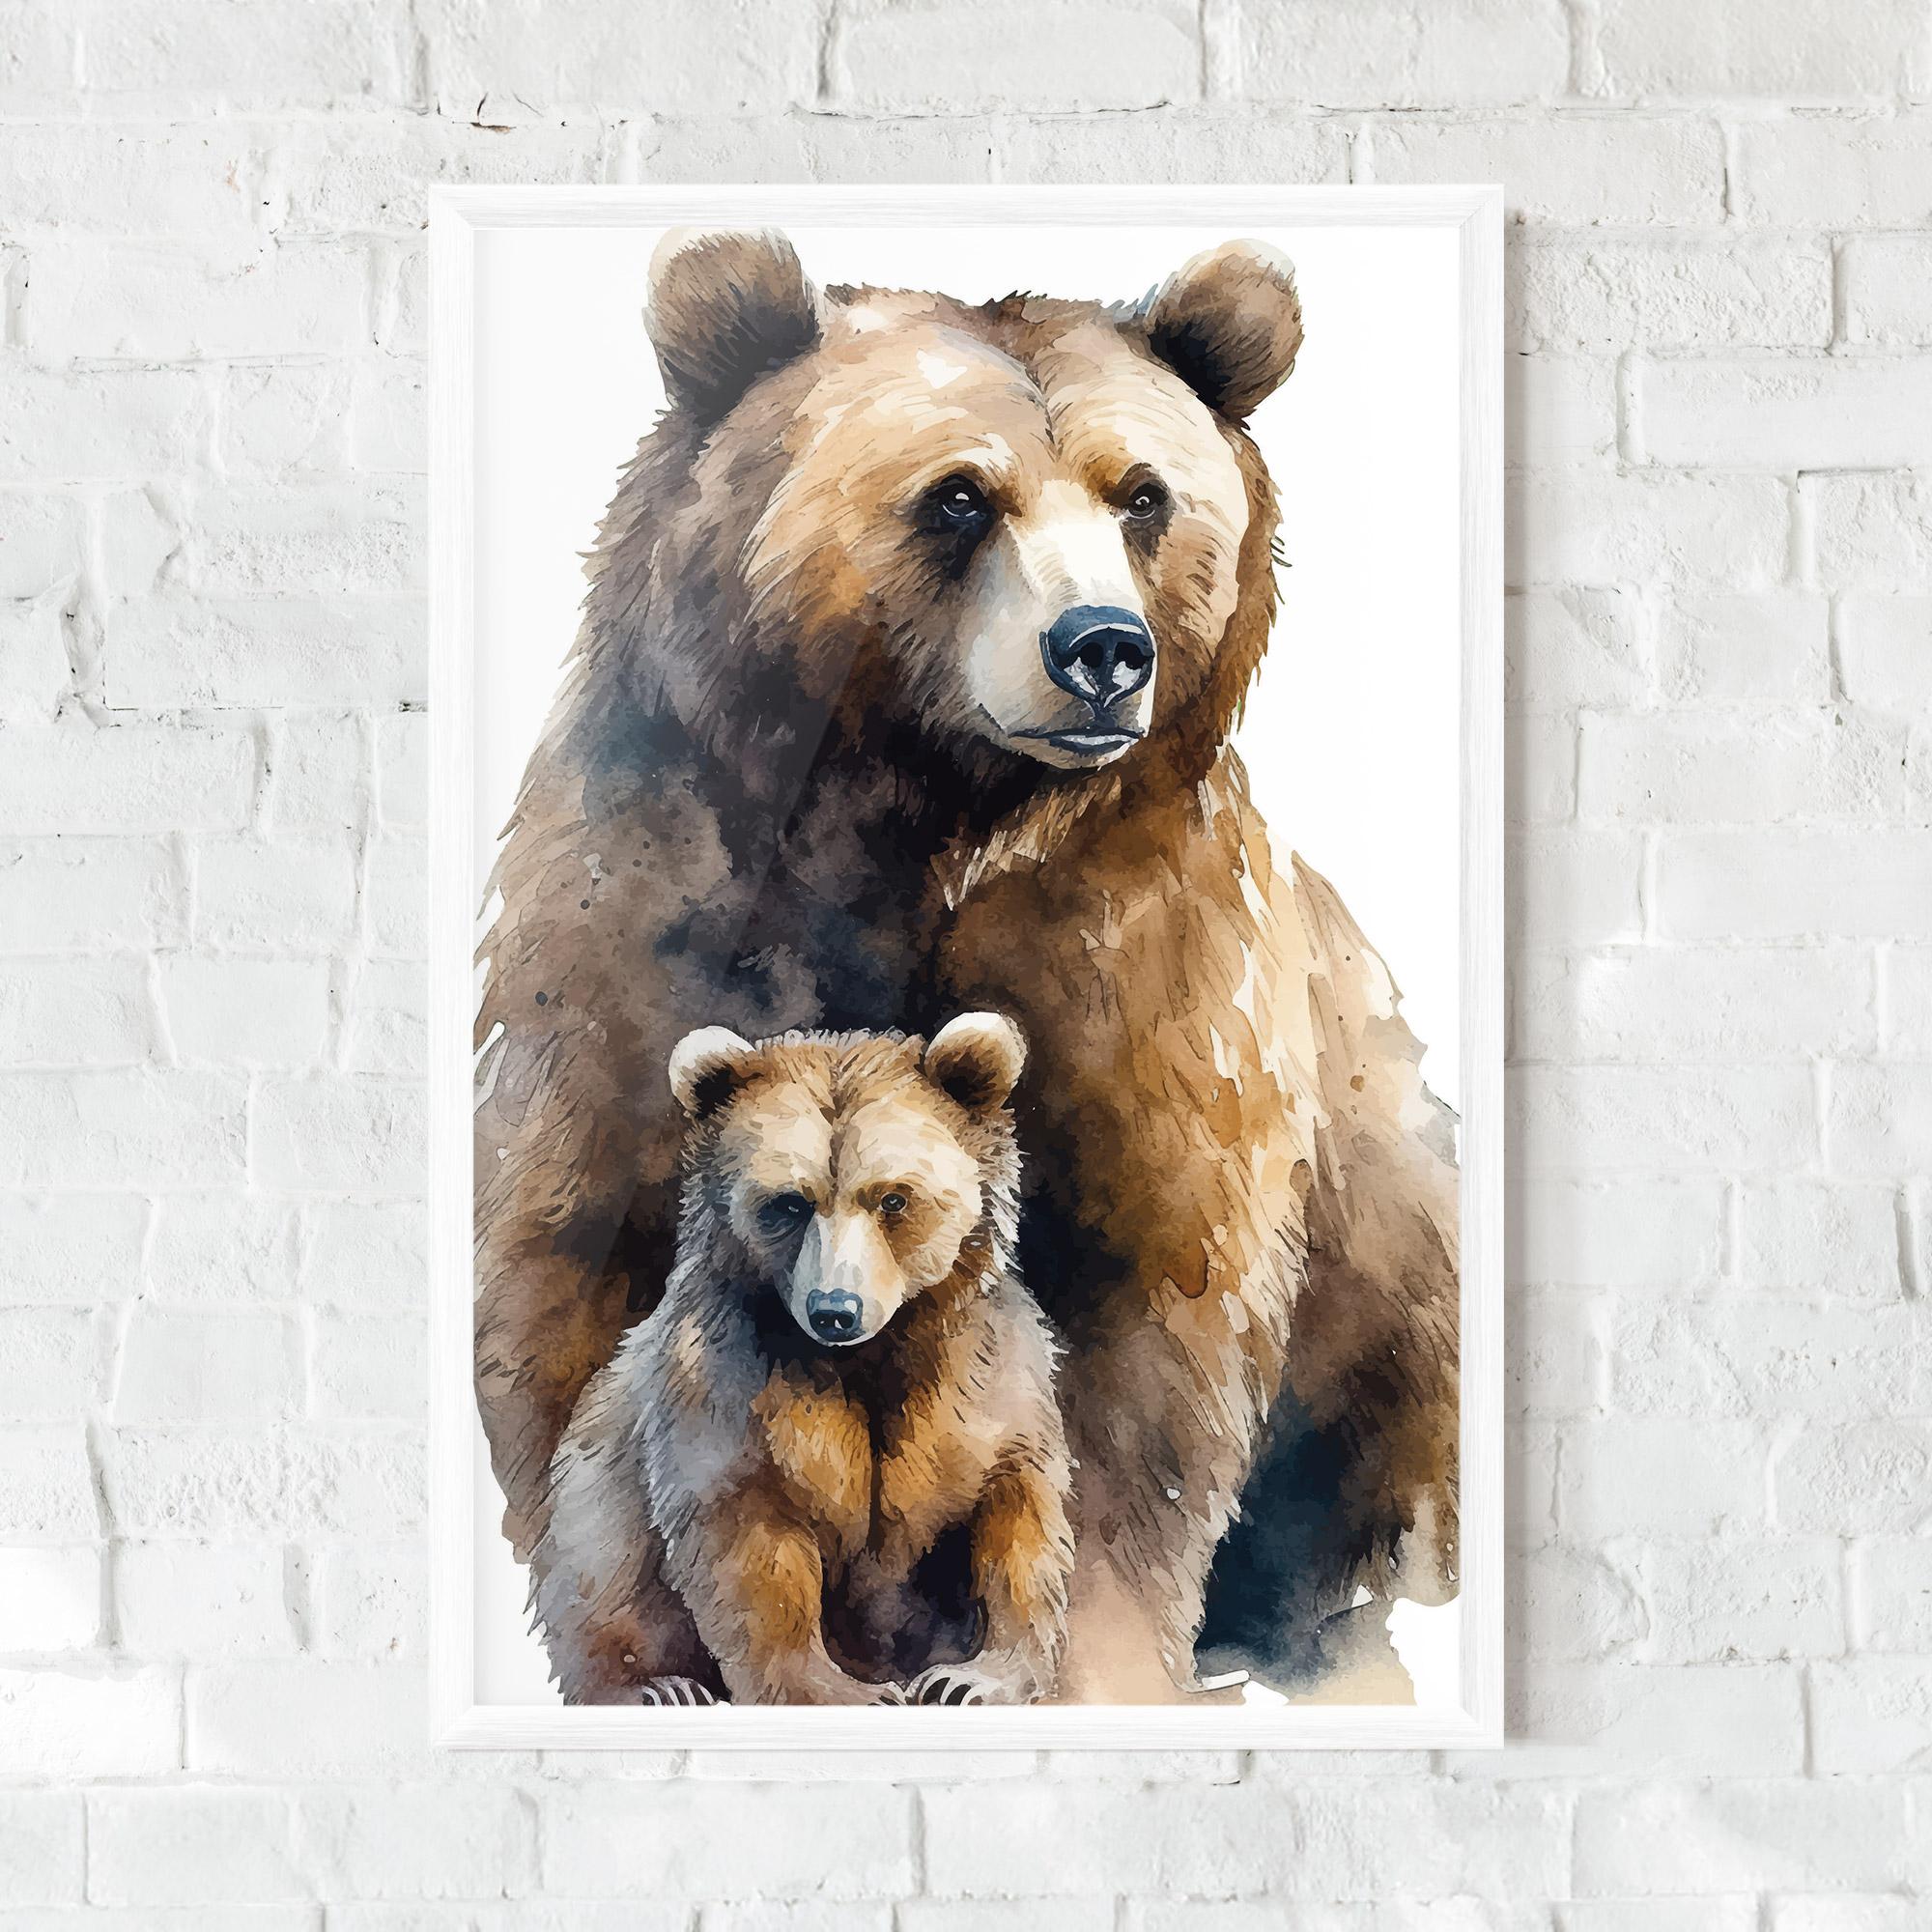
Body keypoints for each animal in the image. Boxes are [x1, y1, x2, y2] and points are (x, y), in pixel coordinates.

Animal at [530, 1012, 1074, 1707]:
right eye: (788, 1202)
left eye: (893, 1199)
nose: (834, 1310)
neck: (869, 1357)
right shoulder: (728, 1389)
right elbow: (752, 1545)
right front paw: (844, 1691)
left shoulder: (984, 1380)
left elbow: (1017, 1519)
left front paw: (974, 1677)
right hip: (591, 1481)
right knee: (597, 1571)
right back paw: (657, 1686)